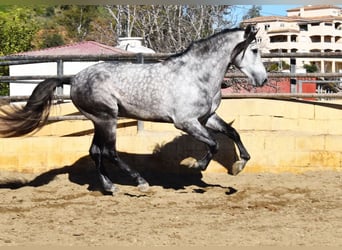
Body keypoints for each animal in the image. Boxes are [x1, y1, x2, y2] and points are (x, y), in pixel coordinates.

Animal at [0, 25, 268, 193]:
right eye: (254, 50)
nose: (263, 80)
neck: (196, 75)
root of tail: (74, 79)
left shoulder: (207, 117)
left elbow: (232, 133)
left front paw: (239, 165)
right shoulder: (186, 122)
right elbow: (213, 143)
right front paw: (198, 166)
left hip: (99, 121)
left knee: (95, 151)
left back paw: (110, 187)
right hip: (108, 118)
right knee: (109, 151)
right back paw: (140, 182)